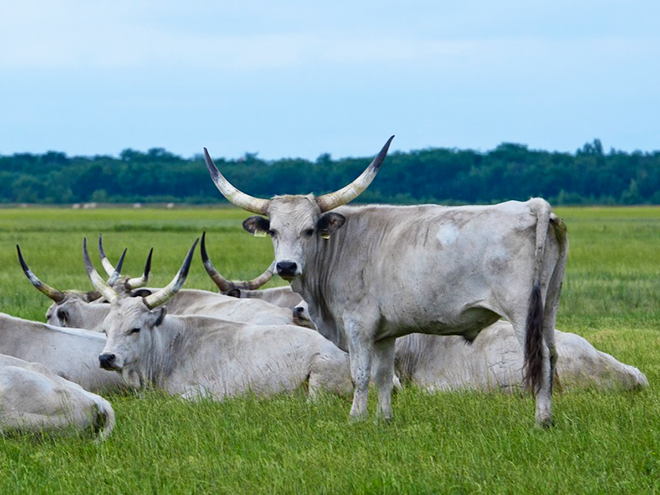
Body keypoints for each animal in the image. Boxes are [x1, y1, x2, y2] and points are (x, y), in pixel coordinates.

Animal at [202, 136, 568, 426]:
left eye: (309, 230)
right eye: (274, 231)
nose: (287, 265)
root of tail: (533, 206)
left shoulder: (358, 325)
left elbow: (361, 373)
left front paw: (355, 418)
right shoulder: (385, 332)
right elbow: (383, 375)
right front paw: (384, 419)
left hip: (522, 312)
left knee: (539, 357)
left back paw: (540, 420)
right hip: (548, 306)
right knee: (552, 354)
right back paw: (549, 417)